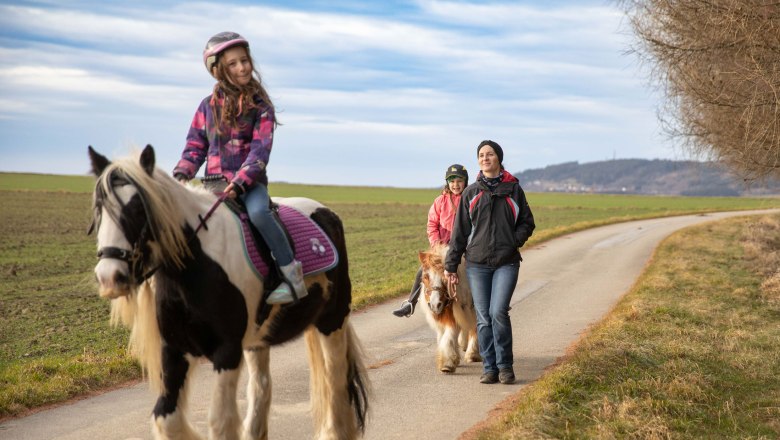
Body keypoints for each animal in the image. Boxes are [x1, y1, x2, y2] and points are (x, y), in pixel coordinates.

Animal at [90, 146, 370, 438]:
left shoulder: (227, 350)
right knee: (262, 386)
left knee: (335, 382)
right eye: (99, 208)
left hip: (332, 321)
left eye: (136, 208)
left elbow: (220, 421)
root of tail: (328, 214)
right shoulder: (174, 349)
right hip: (260, 339)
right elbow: (165, 417)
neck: (196, 266)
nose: (109, 277)